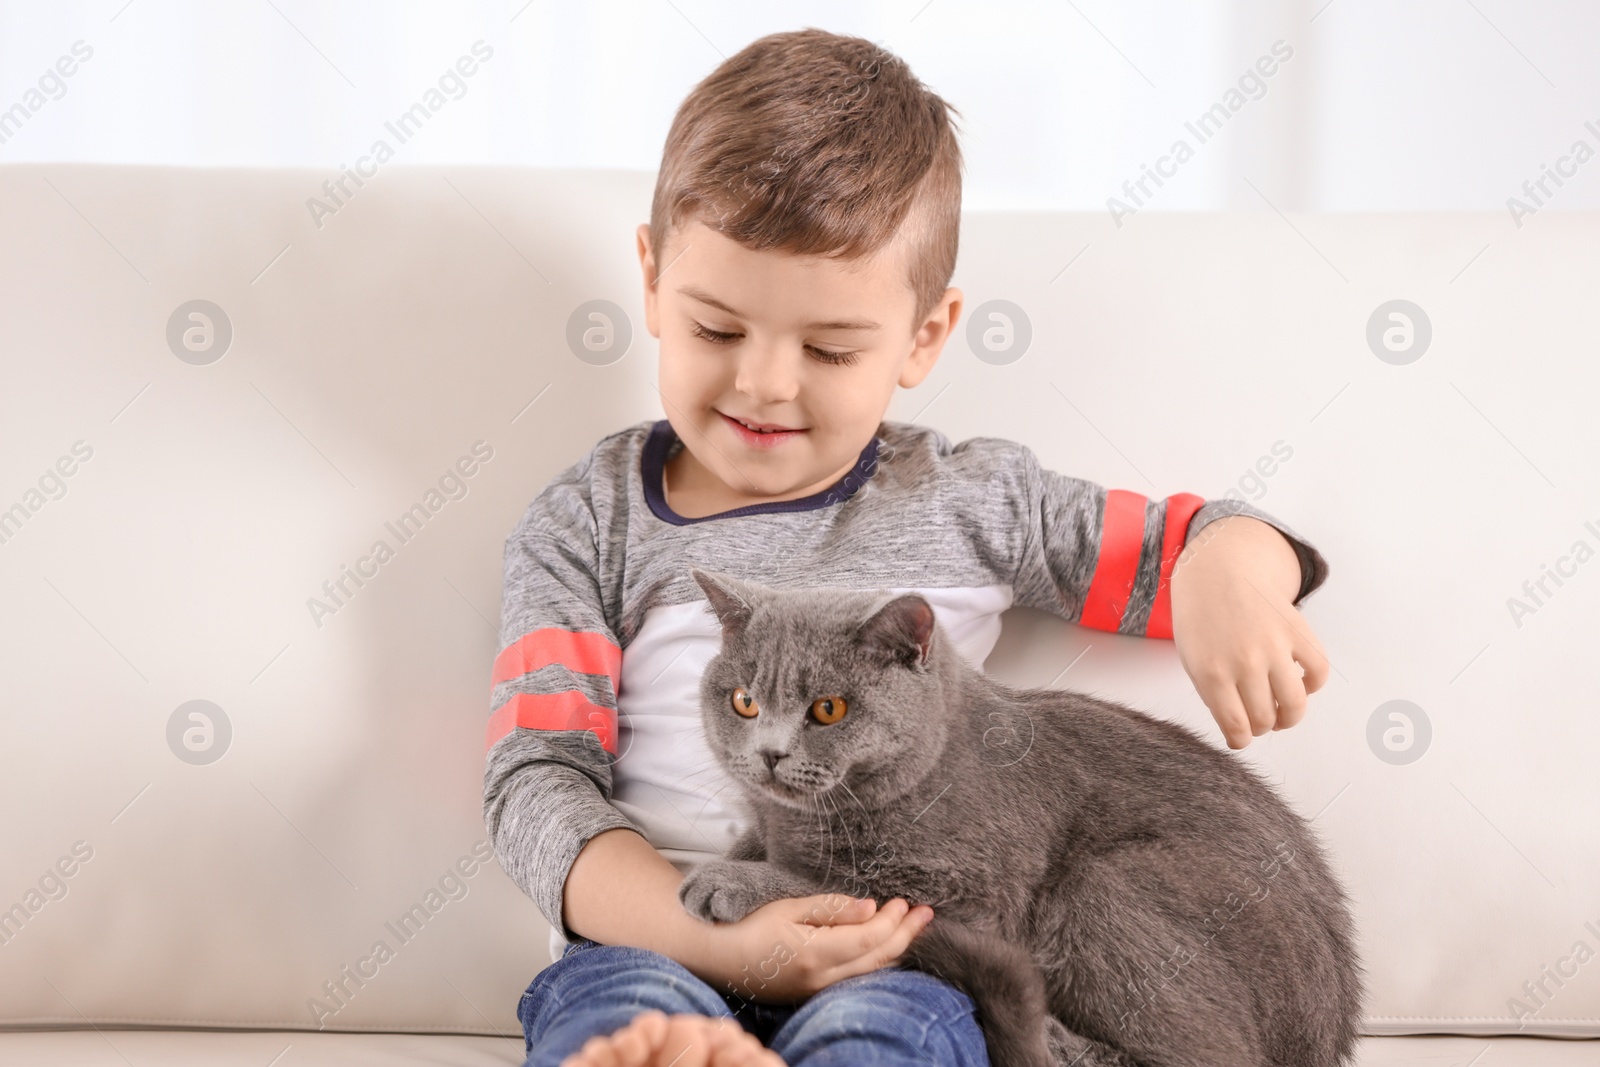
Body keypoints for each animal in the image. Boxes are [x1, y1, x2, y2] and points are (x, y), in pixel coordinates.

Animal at [675, 566, 1363, 1067]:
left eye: (828, 709)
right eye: (744, 702)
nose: (769, 753)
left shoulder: (971, 892)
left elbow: (835, 882)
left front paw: (728, 881)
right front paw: (737, 859)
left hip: (1106, 886)